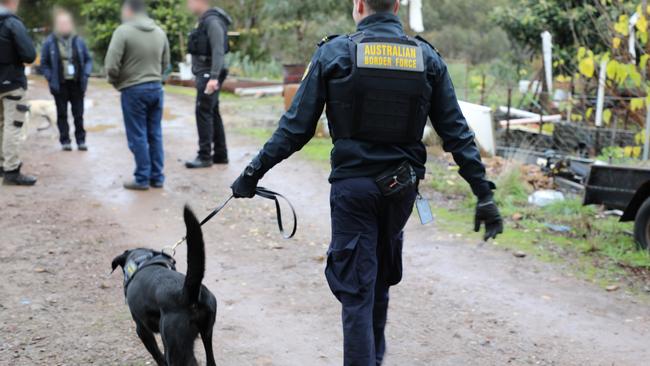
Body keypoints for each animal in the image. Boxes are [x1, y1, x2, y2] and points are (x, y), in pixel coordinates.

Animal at [109, 207, 215, 364]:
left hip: (176, 348)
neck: (142, 261)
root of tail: (186, 292)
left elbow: (158, 356)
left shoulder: (142, 330)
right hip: (207, 334)